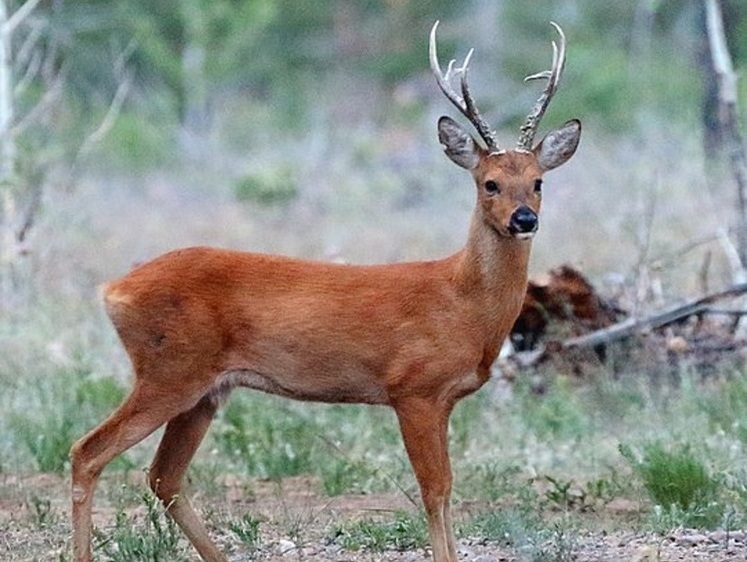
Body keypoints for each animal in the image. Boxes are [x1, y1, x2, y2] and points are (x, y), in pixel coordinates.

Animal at [70, 19, 580, 560]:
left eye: (539, 182)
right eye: (489, 183)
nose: (523, 220)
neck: (462, 303)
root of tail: (113, 289)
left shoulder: (440, 399)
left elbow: (445, 489)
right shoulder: (413, 389)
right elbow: (436, 489)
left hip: (205, 389)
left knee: (163, 477)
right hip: (169, 369)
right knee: (88, 452)